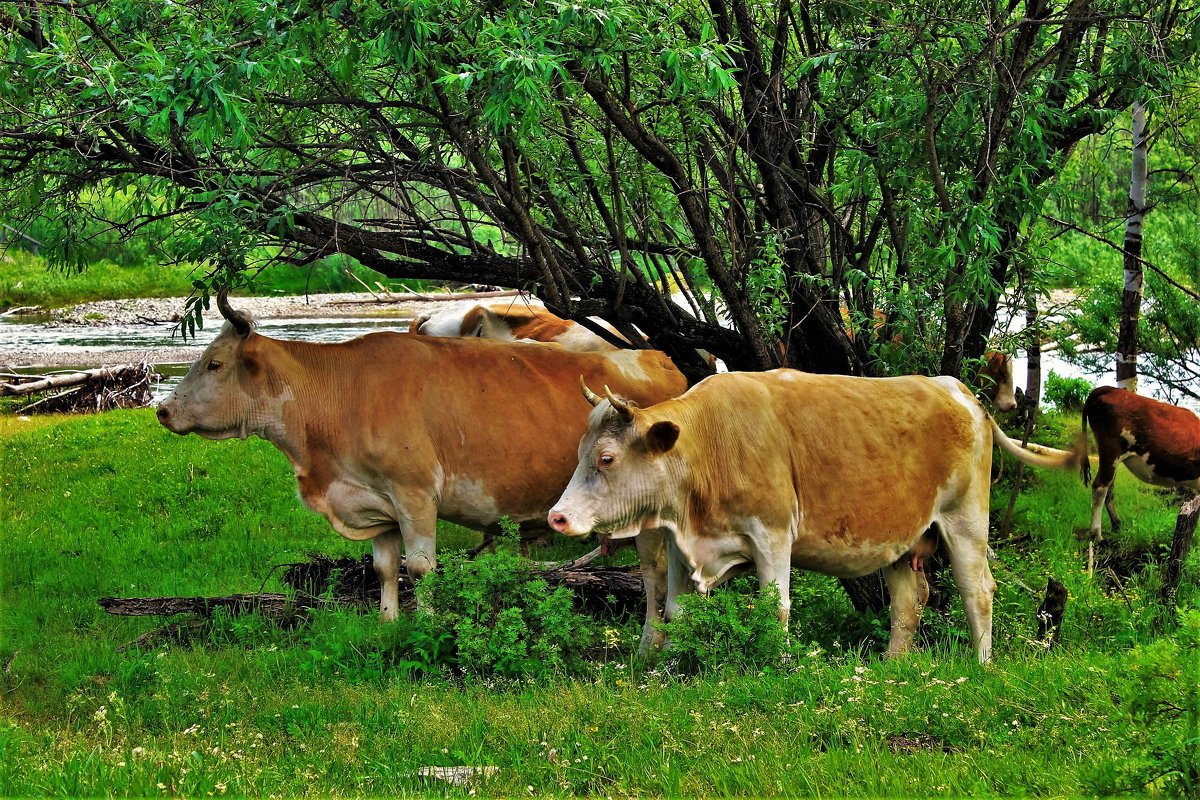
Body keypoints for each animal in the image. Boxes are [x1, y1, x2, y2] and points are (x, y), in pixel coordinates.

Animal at [157, 291, 686, 623]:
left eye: (214, 363)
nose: (163, 409)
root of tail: (659, 357)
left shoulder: (414, 495)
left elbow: (420, 569)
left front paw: (426, 623)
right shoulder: (378, 504)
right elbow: (385, 568)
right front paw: (389, 622)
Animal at [549, 371, 1084, 662]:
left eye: (607, 458)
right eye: (579, 452)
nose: (558, 517)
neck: (708, 444)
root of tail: (958, 391)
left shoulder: (771, 534)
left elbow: (776, 608)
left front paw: (779, 665)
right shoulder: (683, 545)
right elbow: (675, 610)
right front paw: (670, 671)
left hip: (966, 518)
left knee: (978, 591)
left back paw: (981, 664)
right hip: (900, 536)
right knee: (909, 601)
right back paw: (892, 666)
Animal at [1080, 383, 1200, 542]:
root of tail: (1111, 389)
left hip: (1113, 459)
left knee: (1109, 489)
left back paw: (1117, 525)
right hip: (1111, 451)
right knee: (1100, 487)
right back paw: (1097, 535)